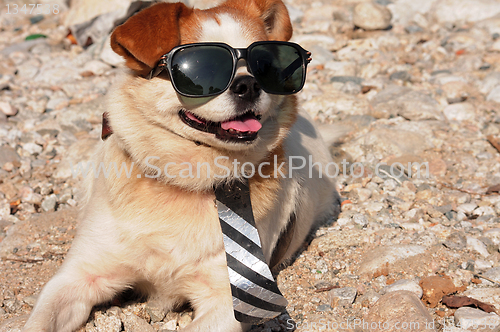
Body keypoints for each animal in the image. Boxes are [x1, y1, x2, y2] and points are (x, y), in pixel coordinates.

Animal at [22, 1, 340, 330]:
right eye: (202, 67)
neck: (185, 180)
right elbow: (39, 322)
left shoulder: (232, 301)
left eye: (264, 65)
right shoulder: (78, 277)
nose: (250, 84)